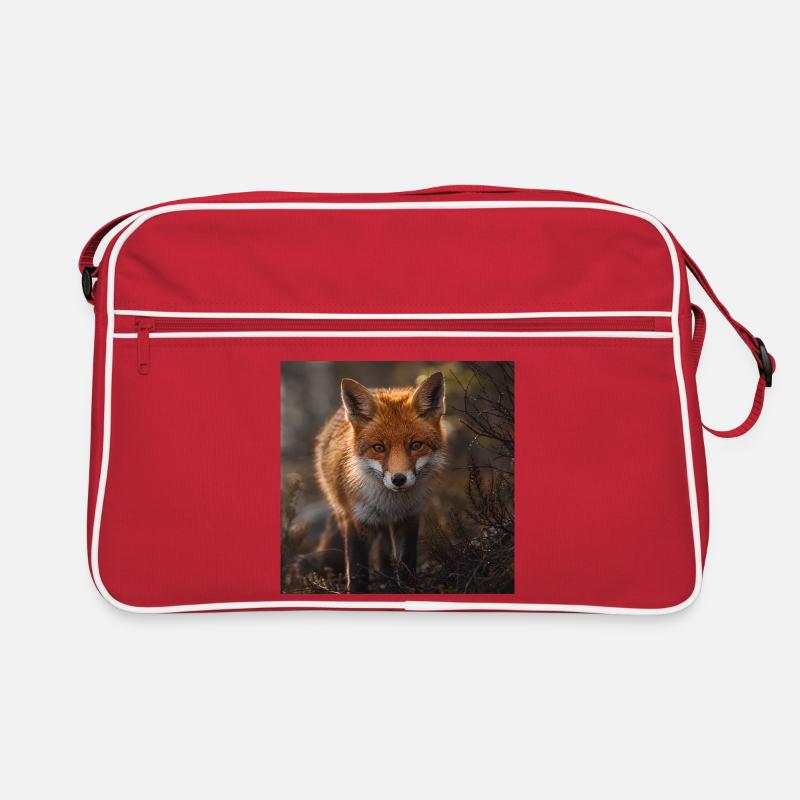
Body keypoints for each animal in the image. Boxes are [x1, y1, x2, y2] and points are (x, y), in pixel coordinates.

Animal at [313, 371, 447, 593]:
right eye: (379, 448)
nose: (399, 479)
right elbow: (357, 571)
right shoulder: (356, 520)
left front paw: (408, 589)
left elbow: (407, 563)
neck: (391, 504)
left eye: (416, 445)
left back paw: (387, 578)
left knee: (385, 551)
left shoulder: (408, 518)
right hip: (343, 513)